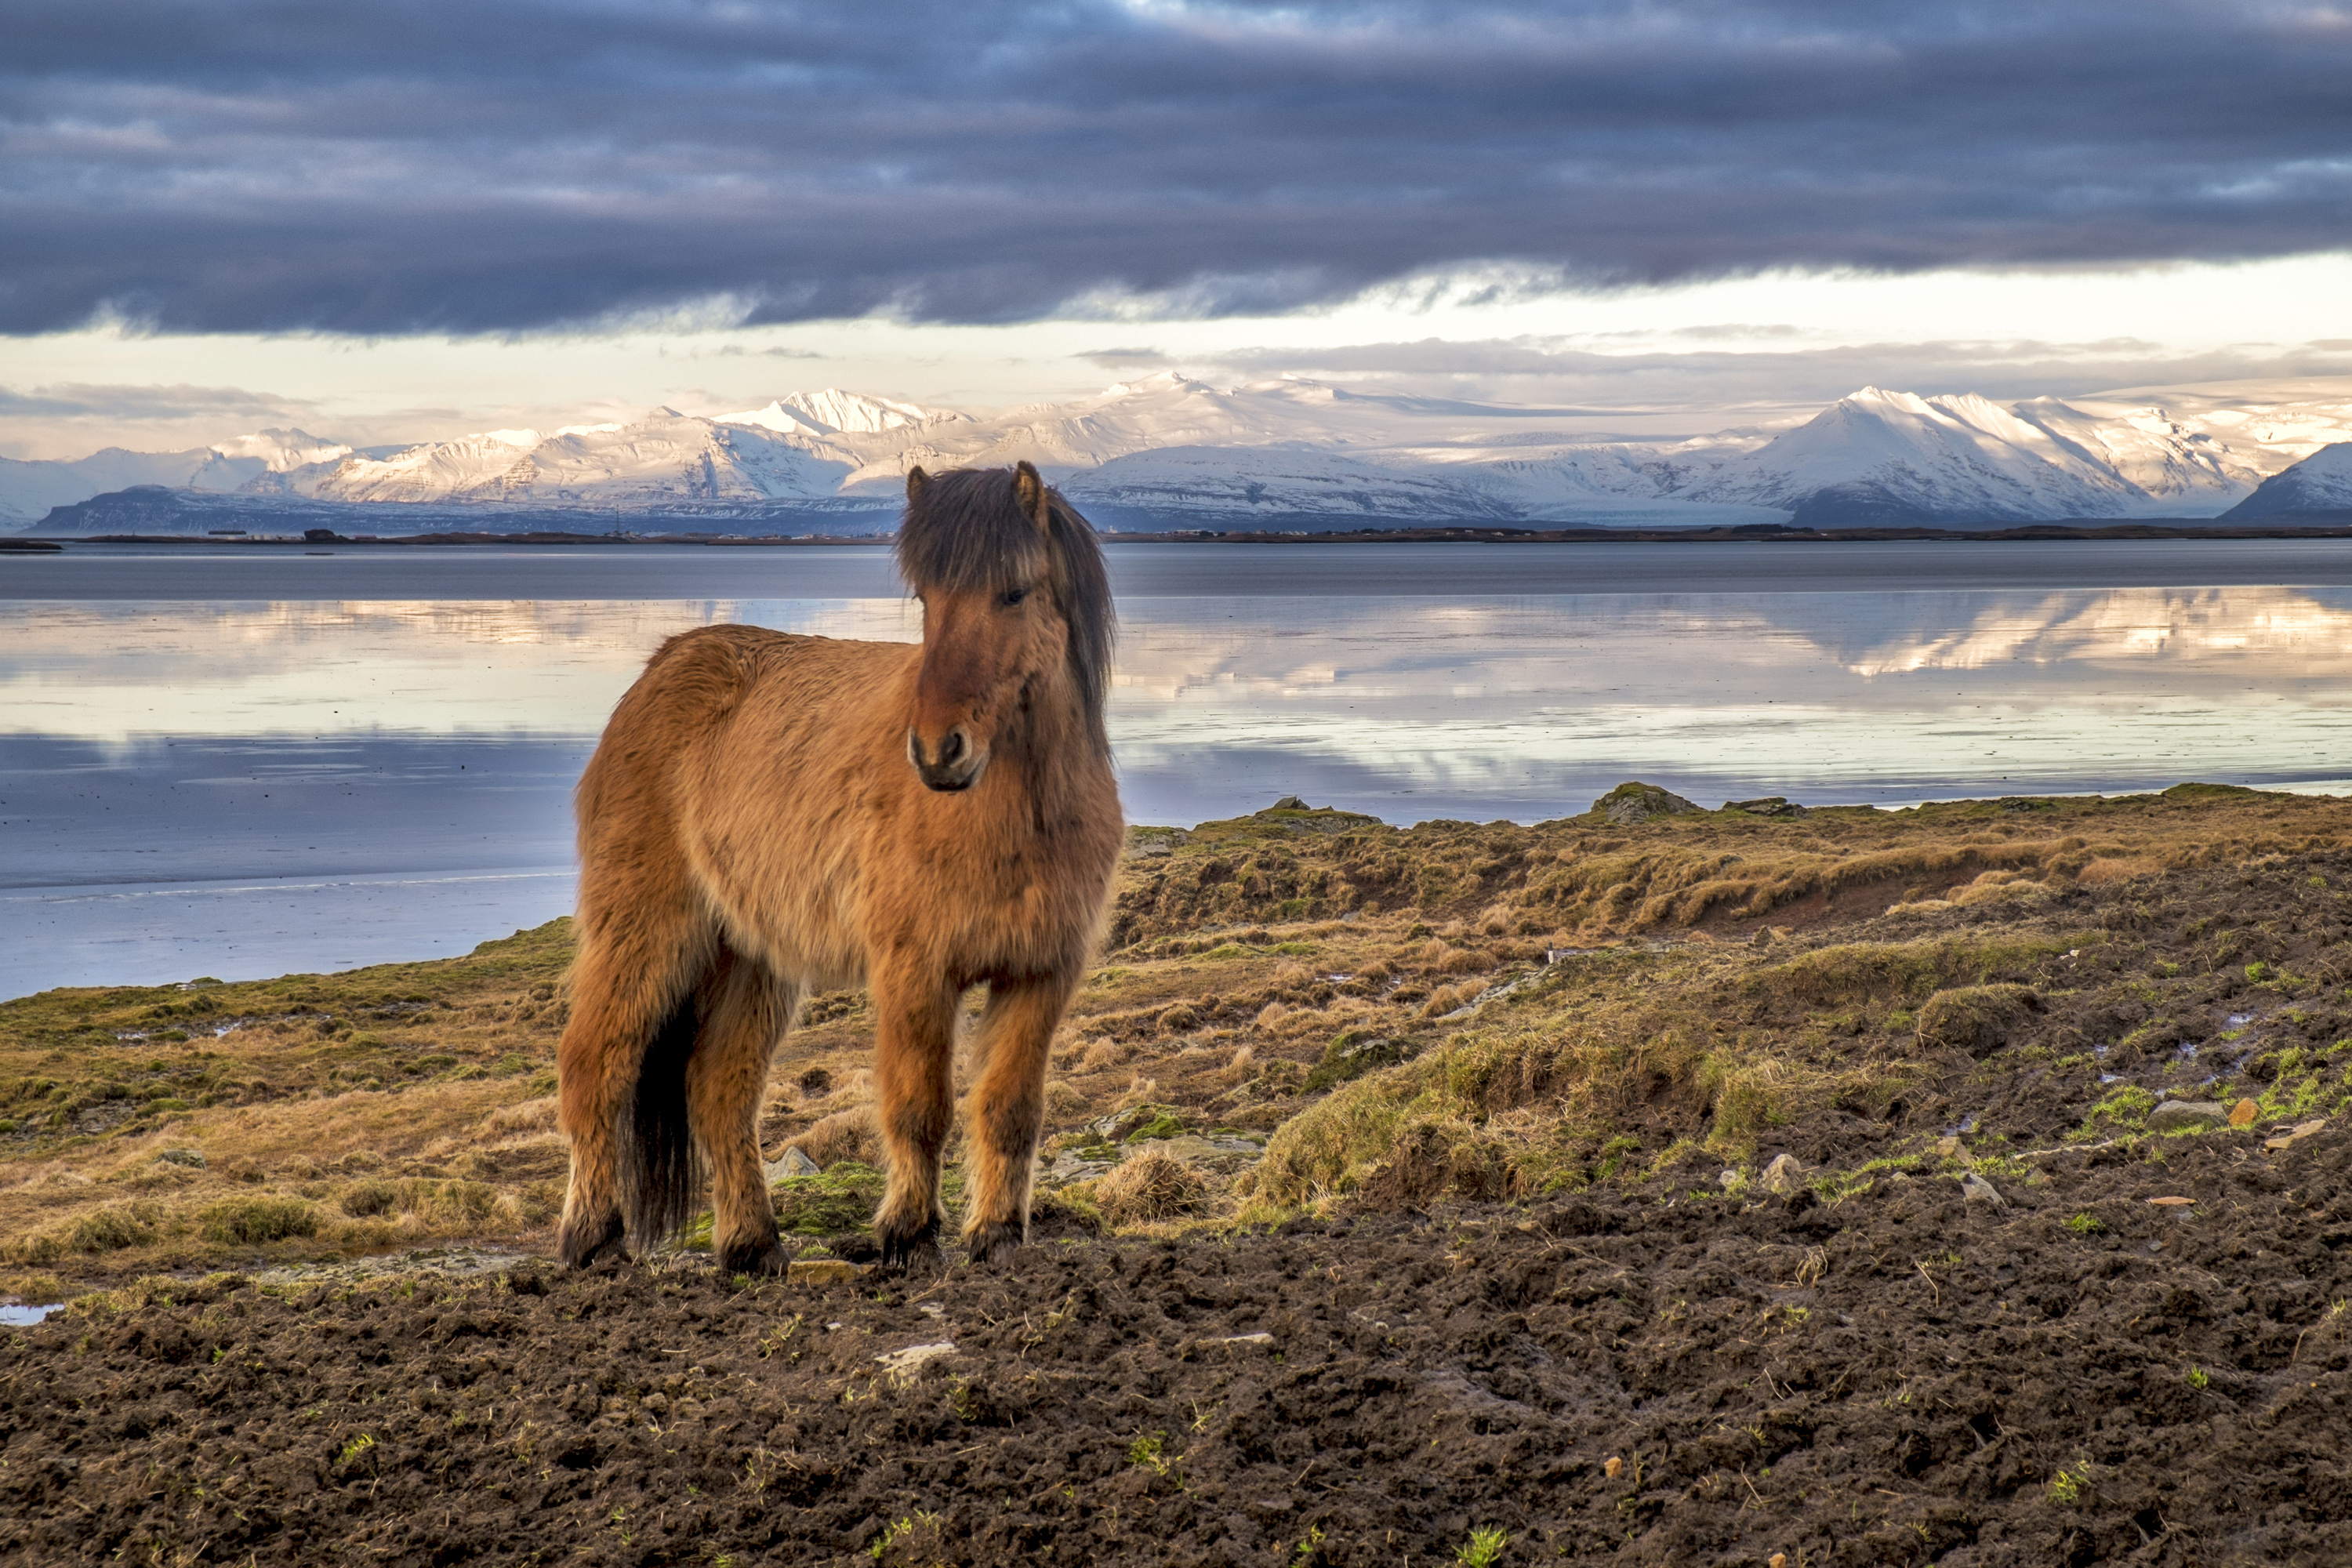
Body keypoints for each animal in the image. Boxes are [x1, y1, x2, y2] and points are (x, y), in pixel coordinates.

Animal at [560, 460, 1129, 1269]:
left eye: (1015, 592)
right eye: (927, 599)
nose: (936, 752)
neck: (1015, 816)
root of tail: (659, 669)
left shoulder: (1040, 973)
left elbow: (1010, 1109)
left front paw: (994, 1234)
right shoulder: (915, 969)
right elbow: (920, 1107)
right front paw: (907, 1232)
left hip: (750, 957)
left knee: (718, 1089)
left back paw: (752, 1245)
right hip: (647, 931)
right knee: (595, 1063)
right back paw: (593, 1236)